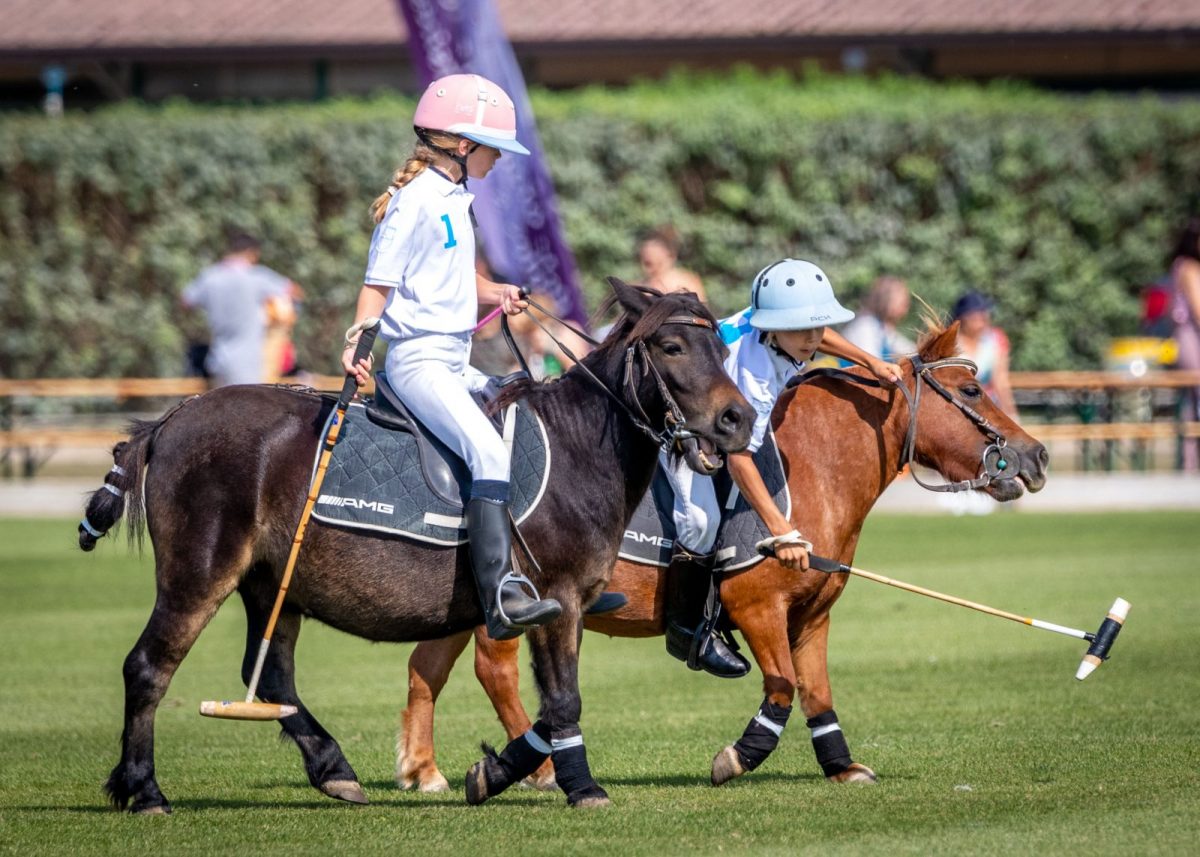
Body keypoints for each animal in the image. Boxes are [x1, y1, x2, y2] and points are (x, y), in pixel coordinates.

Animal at [79, 282, 748, 816]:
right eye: (672, 347)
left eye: (723, 348)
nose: (736, 420)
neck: (579, 448)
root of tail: (168, 421)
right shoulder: (555, 598)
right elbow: (563, 699)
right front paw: (582, 788)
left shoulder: (569, 605)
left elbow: (549, 705)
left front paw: (493, 774)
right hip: (200, 573)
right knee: (149, 667)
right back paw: (144, 791)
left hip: (272, 584)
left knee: (268, 675)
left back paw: (335, 771)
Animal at [396, 321, 1051, 787]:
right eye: (971, 389)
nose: (1037, 455)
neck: (816, 465)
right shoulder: (755, 603)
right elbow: (782, 687)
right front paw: (737, 757)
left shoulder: (814, 613)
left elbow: (818, 692)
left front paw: (843, 766)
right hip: (520, 599)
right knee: (494, 668)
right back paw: (545, 770)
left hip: (458, 596)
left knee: (427, 665)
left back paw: (424, 771)